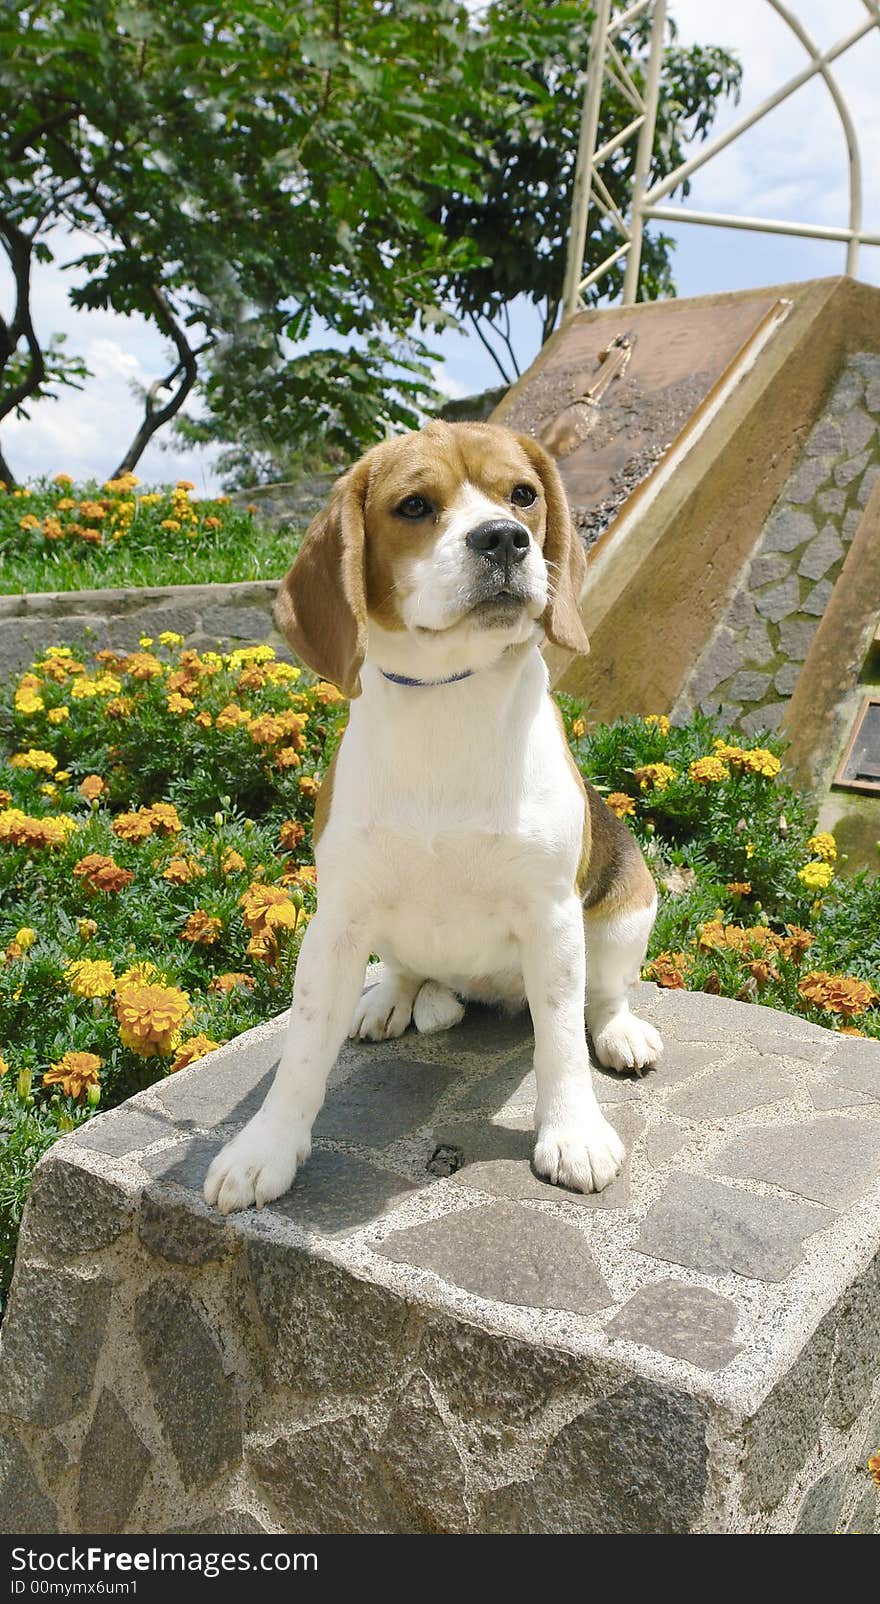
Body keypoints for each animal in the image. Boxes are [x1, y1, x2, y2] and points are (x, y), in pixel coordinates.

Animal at [204, 420, 660, 1206]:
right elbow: (302, 1050)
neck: (451, 694)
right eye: (414, 506)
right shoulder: (336, 920)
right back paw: (393, 998)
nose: (505, 539)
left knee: (602, 996)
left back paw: (619, 1032)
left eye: (523, 495)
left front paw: (573, 1133)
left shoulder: (551, 914)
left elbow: (560, 1041)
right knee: (408, 970)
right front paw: (265, 1148)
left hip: (627, 911)